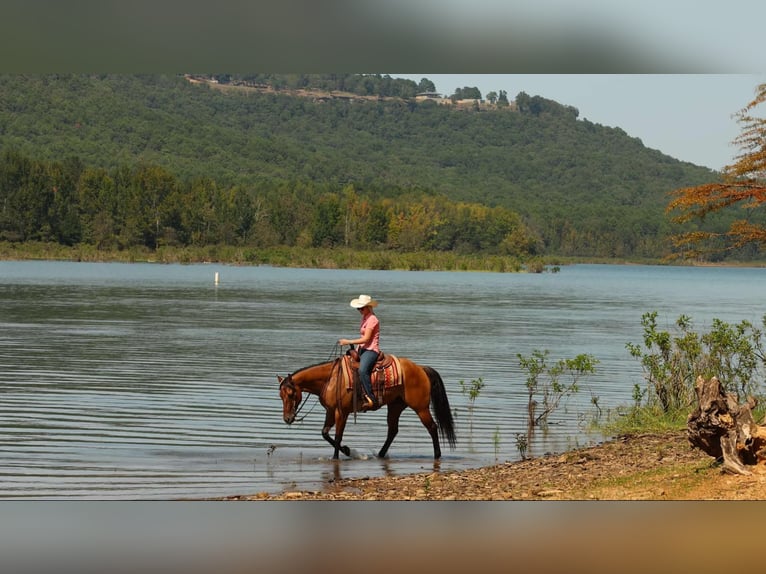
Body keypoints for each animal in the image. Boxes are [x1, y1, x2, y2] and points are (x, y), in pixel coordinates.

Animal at [278, 355, 457, 460]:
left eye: (291, 394)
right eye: (281, 396)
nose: (288, 418)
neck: (331, 379)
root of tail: (421, 368)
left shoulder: (341, 412)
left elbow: (337, 436)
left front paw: (338, 456)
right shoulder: (330, 411)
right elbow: (325, 433)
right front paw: (347, 451)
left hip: (420, 408)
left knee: (432, 427)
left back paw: (437, 455)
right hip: (395, 406)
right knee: (393, 430)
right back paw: (381, 454)